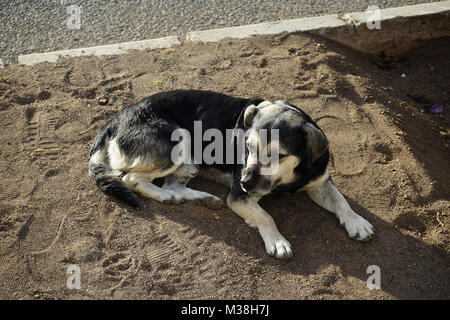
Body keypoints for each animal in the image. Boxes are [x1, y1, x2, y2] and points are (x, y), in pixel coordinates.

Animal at [89, 89, 374, 258]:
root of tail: (113, 123)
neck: (291, 177)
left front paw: (357, 222)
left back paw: (202, 199)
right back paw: (166, 197)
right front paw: (277, 241)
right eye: (247, 146)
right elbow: (265, 216)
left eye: (278, 155)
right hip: (177, 141)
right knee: (130, 178)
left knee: (173, 185)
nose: (245, 182)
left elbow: (341, 201)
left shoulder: (320, 182)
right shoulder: (239, 197)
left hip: (189, 161)